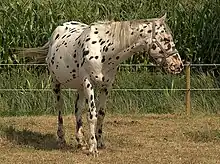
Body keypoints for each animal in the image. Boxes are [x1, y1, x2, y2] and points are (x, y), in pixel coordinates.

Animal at [15, 13, 184, 155]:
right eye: (166, 39)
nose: (178, 65)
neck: (103, 50)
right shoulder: (89, 83)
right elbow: (92, 115)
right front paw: (93, 148)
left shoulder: (106, 86)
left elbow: (101, 114)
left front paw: (99, 142)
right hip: (56, 83)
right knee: (60, 108)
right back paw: (62, 139)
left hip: (79, 87)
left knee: (77, 109)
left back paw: (81, 141)